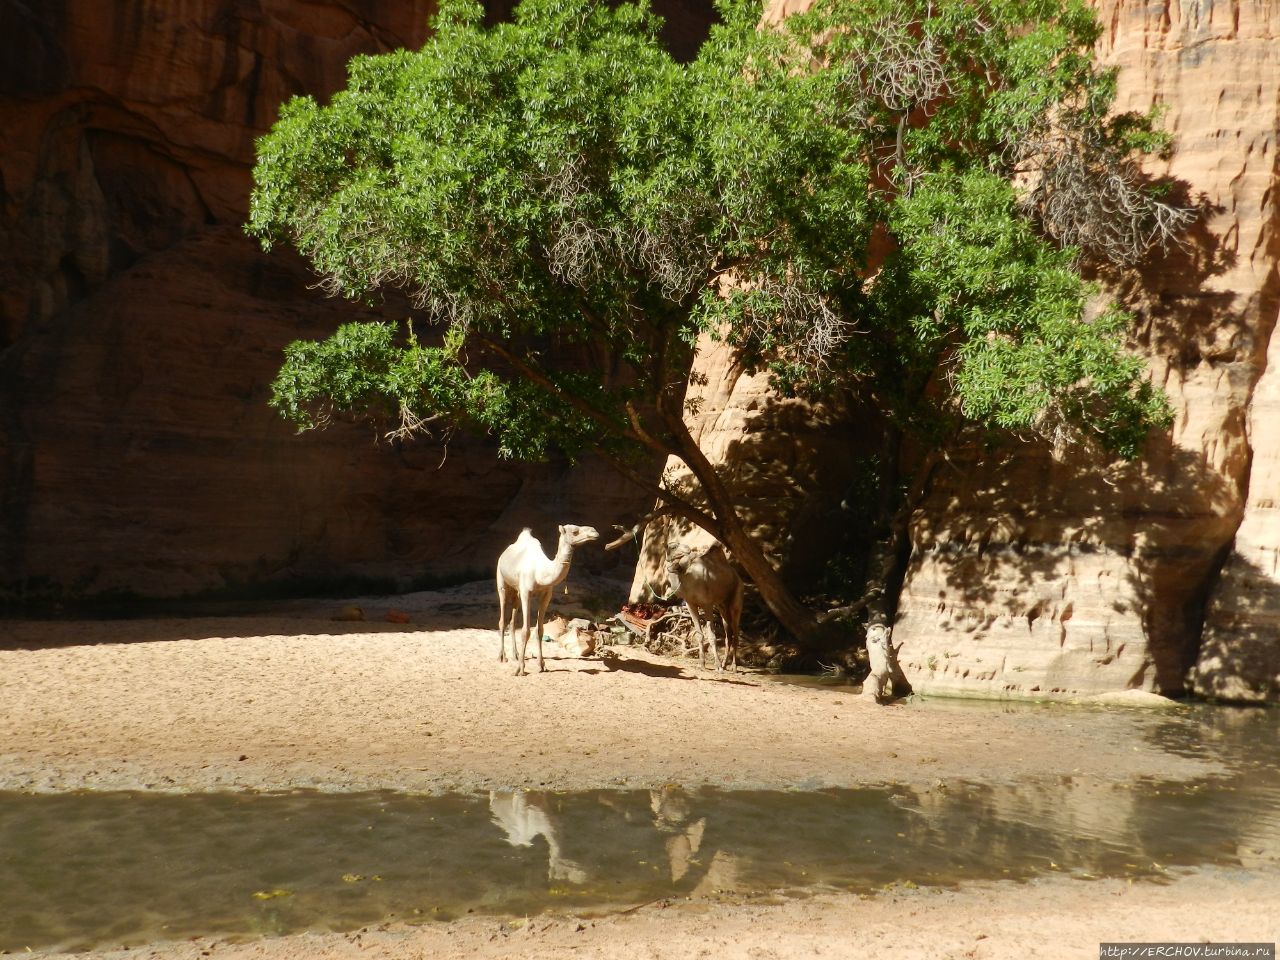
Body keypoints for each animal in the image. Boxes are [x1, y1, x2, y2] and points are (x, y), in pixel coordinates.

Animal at [499, 527, 599, 675]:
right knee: (502, 617)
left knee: (512, 621)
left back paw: (515, 655)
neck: (540, 572)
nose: (594, 532)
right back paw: (502, 657)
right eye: (575, 531)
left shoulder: (546, 594)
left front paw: (541, 665)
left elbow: (540, 630)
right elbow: (525, 631)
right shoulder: (526, 593)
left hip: (516, 591)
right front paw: (520, 669)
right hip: (501, 581)